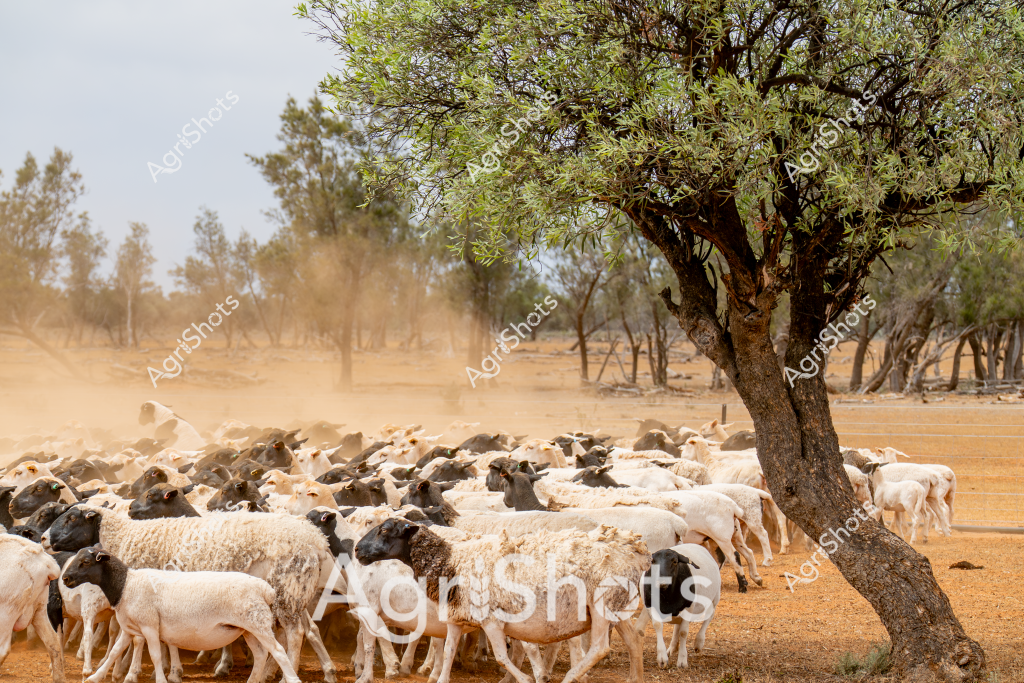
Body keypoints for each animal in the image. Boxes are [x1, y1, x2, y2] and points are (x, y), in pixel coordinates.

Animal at [0, 534, 65, 683]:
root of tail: (44, 561)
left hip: (7, 611)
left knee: (3, 649)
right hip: (39, 608)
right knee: (53, 641)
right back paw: (59, 677)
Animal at [62, 546, 301, 683]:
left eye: (85, 562)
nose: (65, 579)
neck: (125, 585)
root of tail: (266, 589)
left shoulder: (150, 626)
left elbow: (156, 656)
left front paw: (161, 679)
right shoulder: (130, 629)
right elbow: (113, 653)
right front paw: (94, 677)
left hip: (258, 623)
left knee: (279, 652)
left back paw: (292, 679)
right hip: (247, 628)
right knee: (261, 654)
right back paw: (252, 681)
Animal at [355, 520, 650, 683]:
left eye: (384, 529)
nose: (357, 550)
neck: (452, 561)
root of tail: (635, 551)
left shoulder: (491, 620)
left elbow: (500, 656)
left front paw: (527, 678)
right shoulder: (457, 618)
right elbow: (449, 651)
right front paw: (439, 678)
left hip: (602, 605)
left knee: (599, 648)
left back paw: (570, 677)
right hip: (618, 610)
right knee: (634, 641)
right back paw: (635, 678)